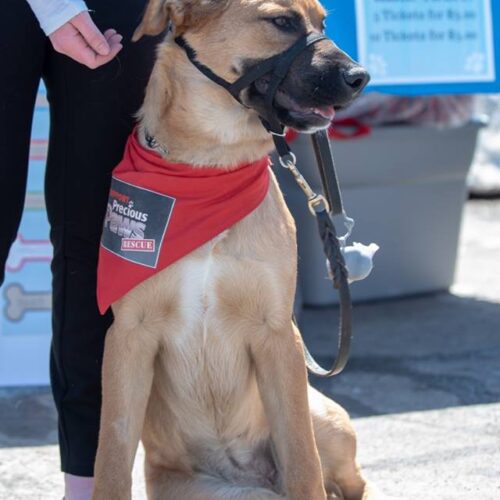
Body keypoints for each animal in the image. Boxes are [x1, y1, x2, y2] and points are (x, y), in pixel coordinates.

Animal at [92, 1, 379, 499]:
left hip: (327, 419)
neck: (209, 167)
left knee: (351, 482)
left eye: (323, 22)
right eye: (282, 22)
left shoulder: (278, 333)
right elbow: (110, 457)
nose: (361, 76)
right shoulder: (129, 336)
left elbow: (302, 460)